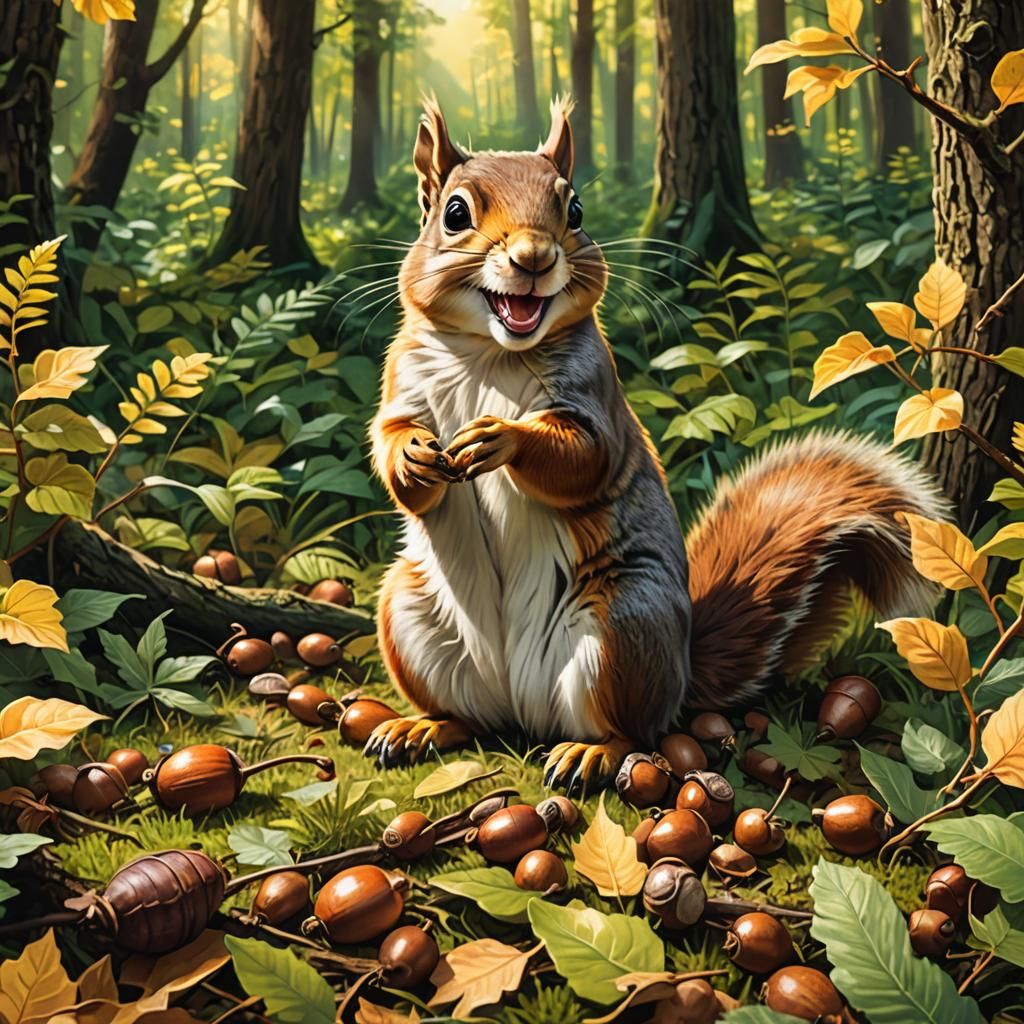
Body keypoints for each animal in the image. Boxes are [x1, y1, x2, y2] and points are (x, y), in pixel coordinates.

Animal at [366, 96, 946, 788]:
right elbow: (388, 442)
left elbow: (580, 459)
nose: (534, 258)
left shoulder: (597, 402)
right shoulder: (402, 384)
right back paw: (421, 726)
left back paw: (590, 752)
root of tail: (524, 710)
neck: (490, 355)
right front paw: (413, 456)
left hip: (623, 628)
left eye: (575, 211)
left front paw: (501, 438)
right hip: (409, 615)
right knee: (470, 719)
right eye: (454, 213)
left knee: (633, 728)